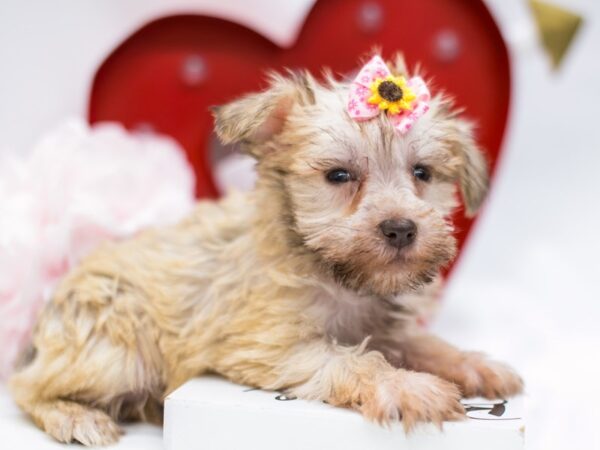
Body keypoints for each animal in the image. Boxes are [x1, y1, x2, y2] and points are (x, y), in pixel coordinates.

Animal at [11, 56, 524, 446]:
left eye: (422, 173)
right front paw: (405, 385)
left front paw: (473, 364)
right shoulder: (269, 345)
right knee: (27, 388)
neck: (334, 275)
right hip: (118, 347)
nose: (400, 229)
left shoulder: (385, 325)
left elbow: (420, 342)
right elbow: (353, 361)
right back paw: (76, 417)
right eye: (339, 175)